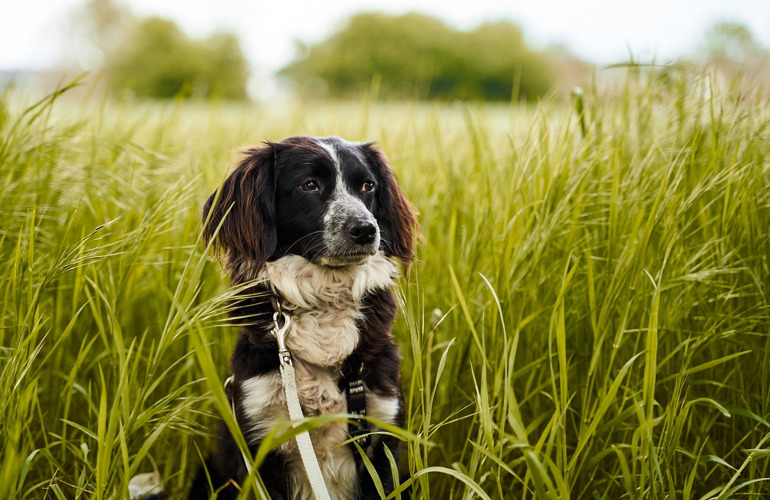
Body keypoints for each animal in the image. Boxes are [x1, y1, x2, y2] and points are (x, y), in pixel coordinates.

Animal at [190, 137, 416, 500]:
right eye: (309, 185)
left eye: (368, 186)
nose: (367, 229)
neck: (324, 303)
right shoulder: (260, 442)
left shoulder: (382, 437)